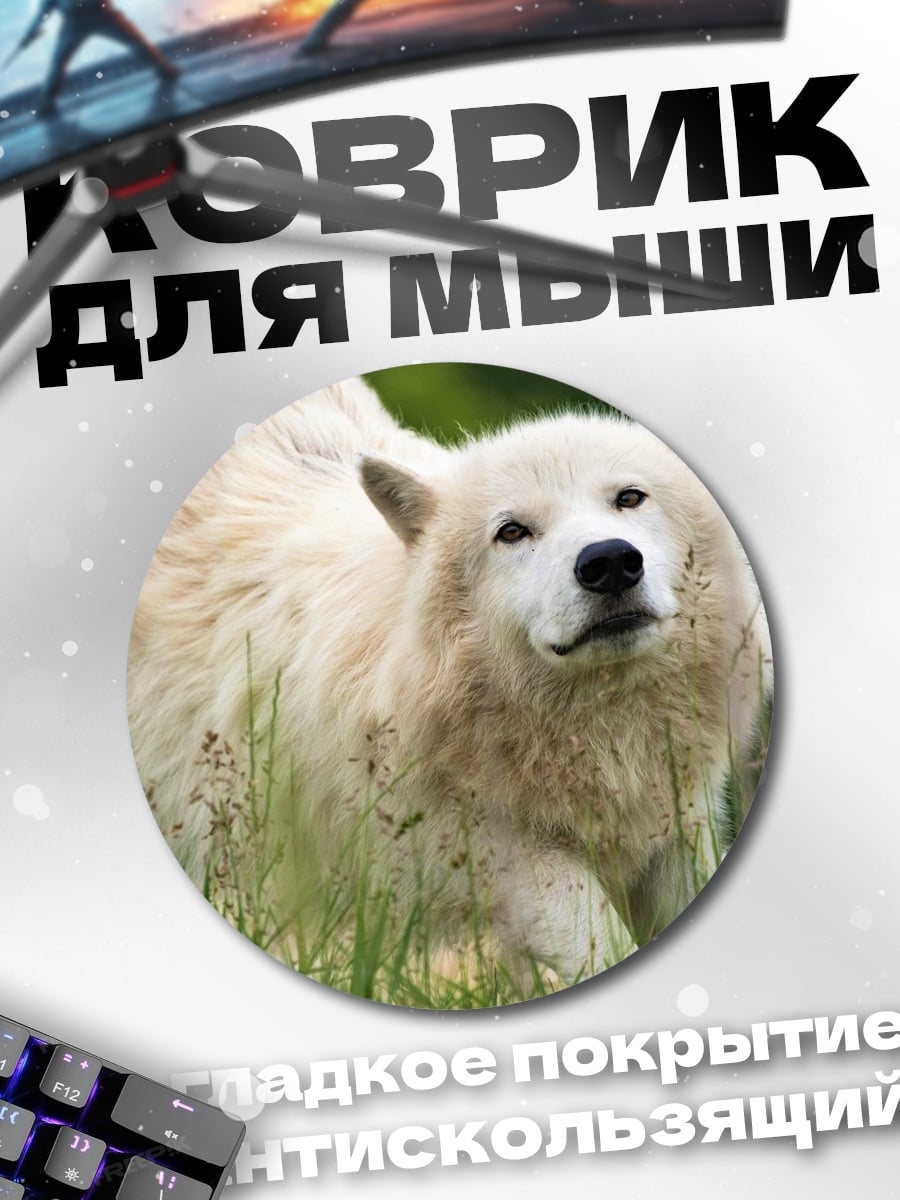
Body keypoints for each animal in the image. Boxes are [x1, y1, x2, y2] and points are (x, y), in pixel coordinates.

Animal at [128, 377, 771, 985]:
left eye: (629, 499)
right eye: (512, 532)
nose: (610, 561)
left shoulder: (672, 829)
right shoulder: (493, 853)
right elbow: (604, 944)